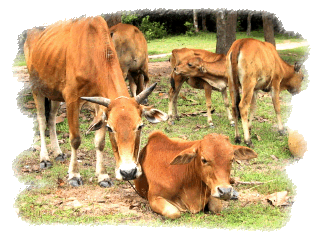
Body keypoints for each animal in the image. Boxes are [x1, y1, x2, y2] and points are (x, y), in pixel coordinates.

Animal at [23, 16, 168, 188]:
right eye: (111, 128)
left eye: (140, 126)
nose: (128, 172)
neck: (93, 54)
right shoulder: (71, 99)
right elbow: (75, 139)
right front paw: (74, 175)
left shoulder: (101, 106)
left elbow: (100, 142)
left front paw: (103, 176)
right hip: (36, 89)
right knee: (41, 120)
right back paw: (44, 158)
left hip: (54, 93)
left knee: (51, 119)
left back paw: (58, 153)